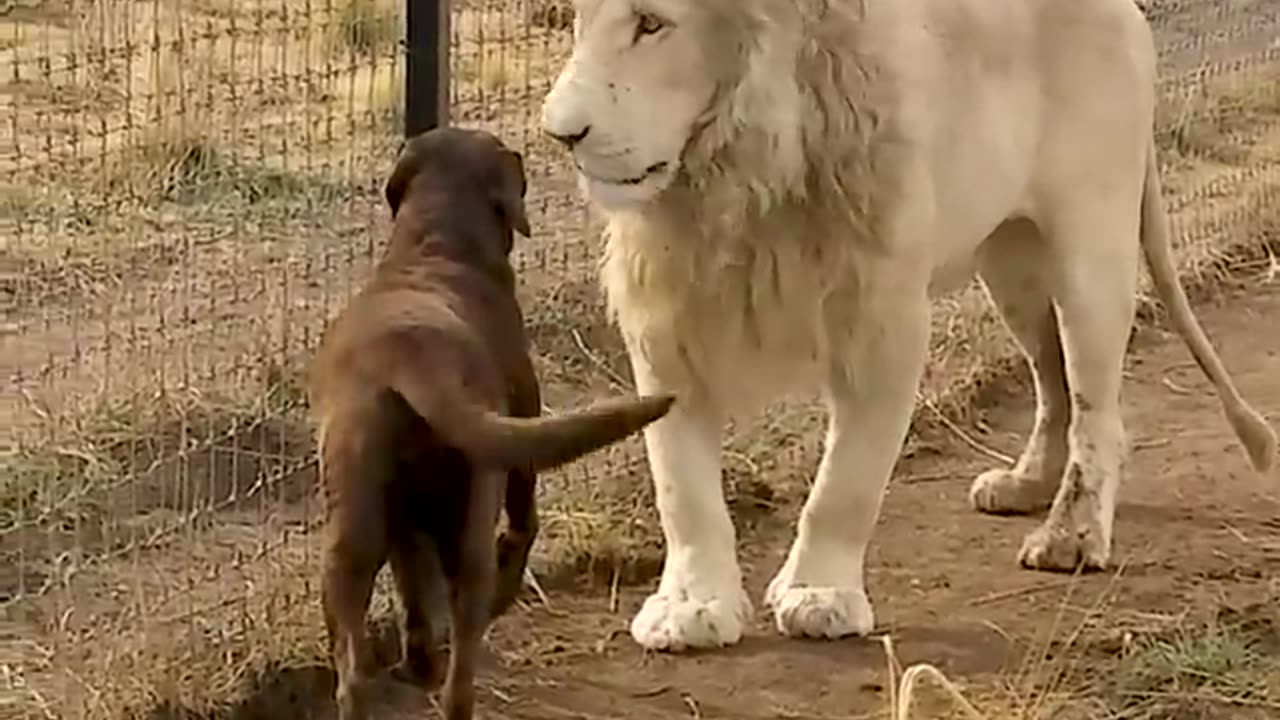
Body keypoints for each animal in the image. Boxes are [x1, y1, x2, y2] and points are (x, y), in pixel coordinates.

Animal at [305, 127, 675, 717]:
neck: (434, 241)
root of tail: (411, 358)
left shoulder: (407, 527)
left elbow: (412, 591)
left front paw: (417, 662)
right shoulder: (523, 420)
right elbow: (524, 524)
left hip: (353, 533)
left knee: (357, 668)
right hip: (474, 505)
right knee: (466, 650)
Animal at [537, 0, 1269, 650]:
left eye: (651, 23)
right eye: (578, 18)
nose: (560, 134)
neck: (735, 182)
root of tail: (1129, 12)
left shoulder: (881, 317)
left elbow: (846, 481)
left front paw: (819, 596)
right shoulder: (669, 326)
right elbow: (680, 486)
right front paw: (690, 607)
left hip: (1090, 246)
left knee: (1098, 409)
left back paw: (1072, 536)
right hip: (1010, 263)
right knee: (1054, 382)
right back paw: (1027, 486)